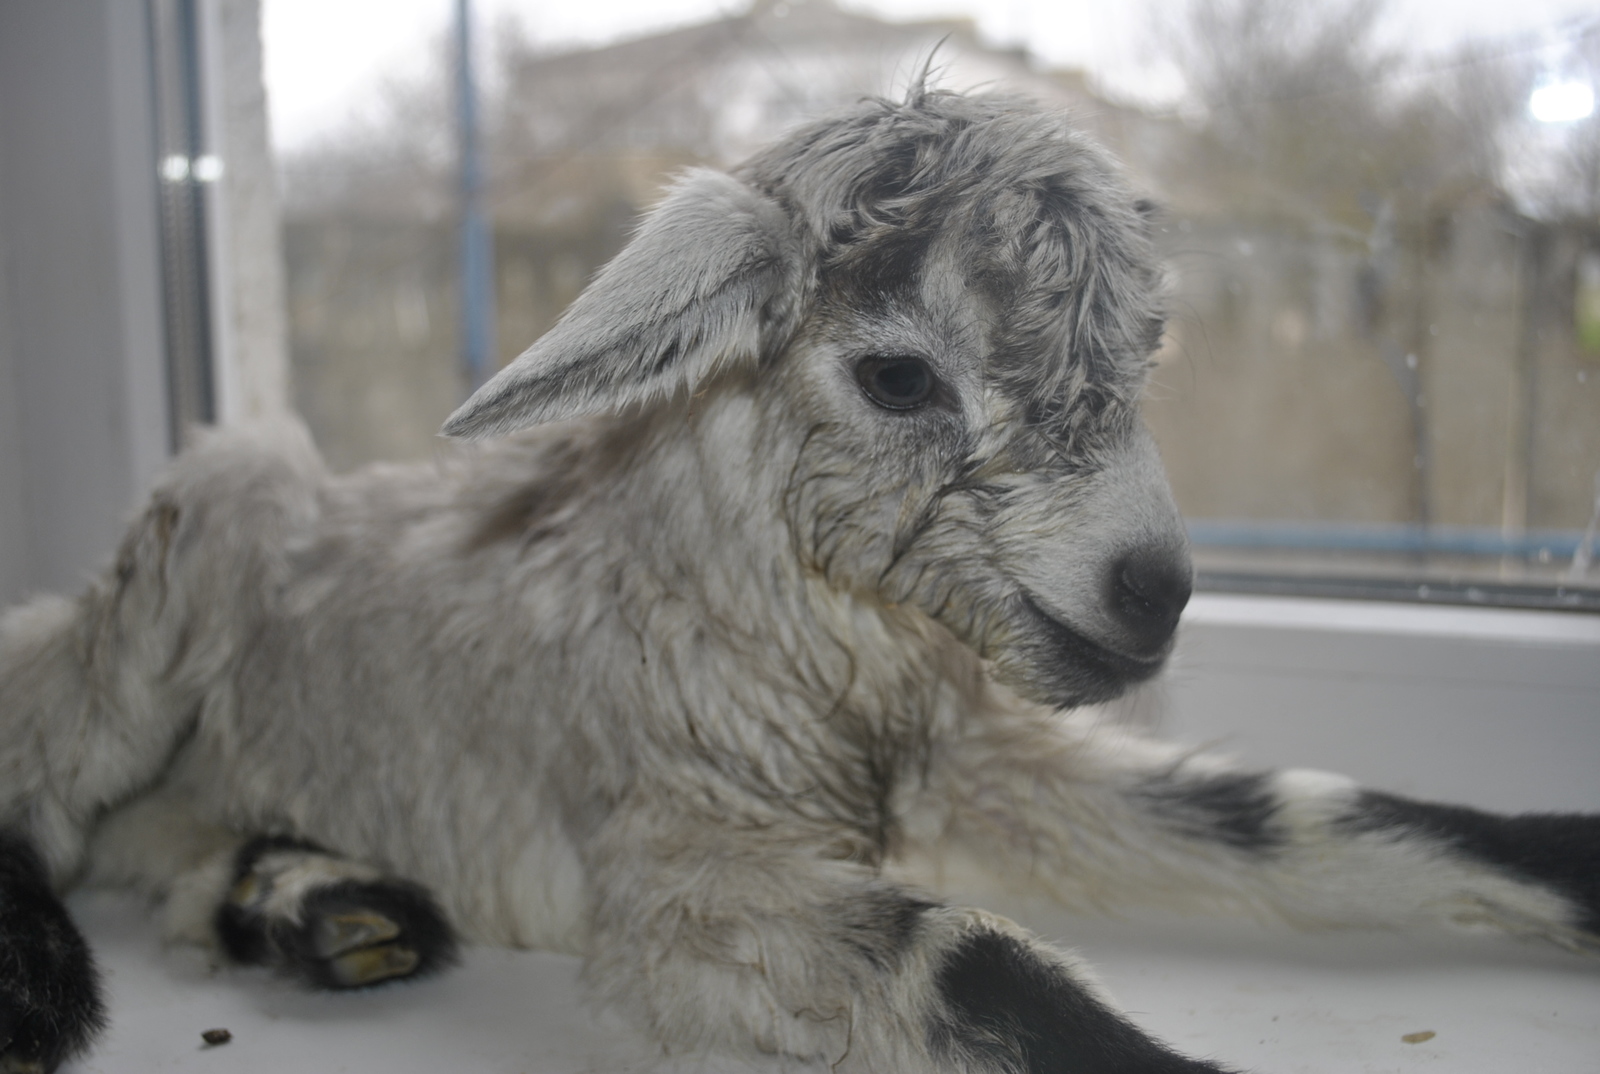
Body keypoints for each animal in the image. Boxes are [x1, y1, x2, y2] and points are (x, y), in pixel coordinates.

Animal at [3, 92, 1600, 1074]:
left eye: (1143, 352)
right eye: (897, 374)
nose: (1152, 590)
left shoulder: (983, 763)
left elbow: (1302, 816)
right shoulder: (669, 875)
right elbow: (970, 960)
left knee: (171, 849)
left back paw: (318, 906)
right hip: (182, 559)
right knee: (47, 774)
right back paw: (69, 968)